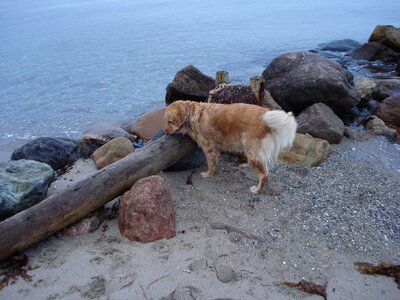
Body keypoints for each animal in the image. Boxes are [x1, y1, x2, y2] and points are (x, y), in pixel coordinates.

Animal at [164, 101, 298, 195]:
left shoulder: (208, 148)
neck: (192, 115)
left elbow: (210, 163)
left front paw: (208, 174)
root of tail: (265, 115)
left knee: (264, 175)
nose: (165, 132)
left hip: (251, 152)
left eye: (169, 121)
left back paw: (257, 190)